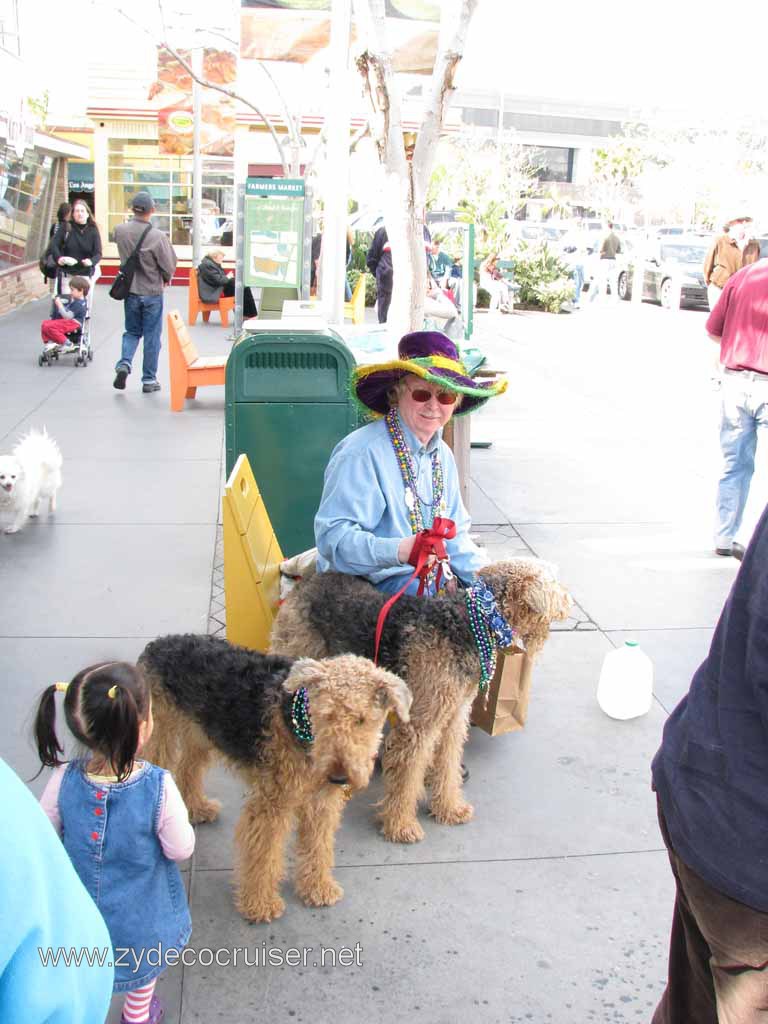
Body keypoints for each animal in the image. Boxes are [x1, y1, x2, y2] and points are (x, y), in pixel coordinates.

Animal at [140, 634, 411, 925]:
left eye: (361, 720)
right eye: (326, 714)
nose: (338, 777)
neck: (298, 723)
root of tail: (157, 644)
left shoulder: (321, 802)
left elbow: (318, 845)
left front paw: (318, 888)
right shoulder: (271, 804)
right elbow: (264, 854)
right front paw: (260, 904)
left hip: (199, 733)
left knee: (188, 768)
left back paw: (197, 808)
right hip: (161, 733)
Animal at [270, 565, 573, 843]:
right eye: (554, 581)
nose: (569, 603)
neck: (470, 622)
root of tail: (308, 578)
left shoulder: (453, 717)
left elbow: (448, 764)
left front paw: (450, 809)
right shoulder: (420, 725)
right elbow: (407, 776)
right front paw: (401, 826)